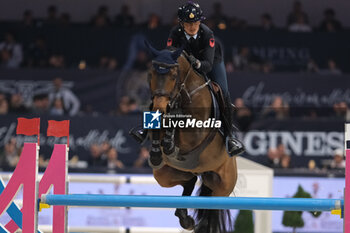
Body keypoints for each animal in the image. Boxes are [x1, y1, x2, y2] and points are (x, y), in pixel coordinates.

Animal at [145, 42, 238, 233]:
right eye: (151, 74)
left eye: (173, 76)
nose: (160, 107)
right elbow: (160, 126)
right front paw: (157, 153)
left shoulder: (196, 131)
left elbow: (178, 121)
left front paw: (170, 143)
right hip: (165, 175)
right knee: (191, 181)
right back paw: (185, 219)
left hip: (223, 184)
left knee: (211, 203)